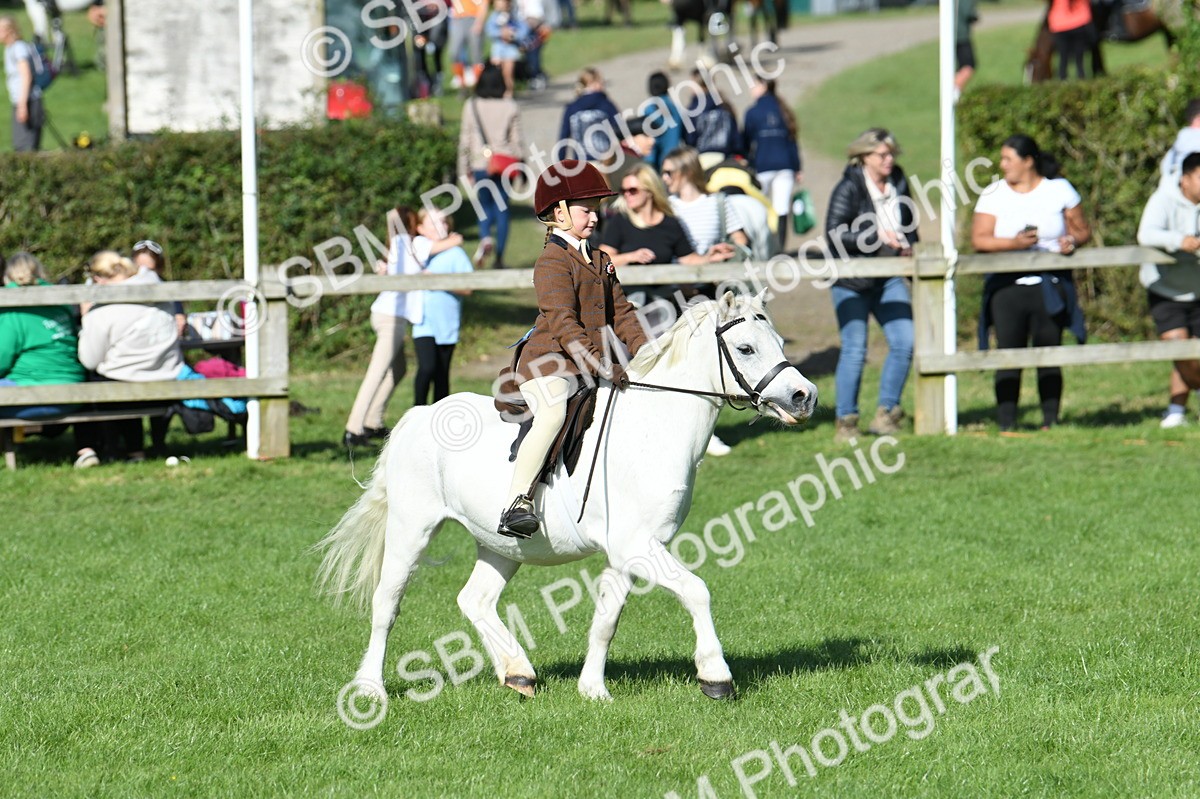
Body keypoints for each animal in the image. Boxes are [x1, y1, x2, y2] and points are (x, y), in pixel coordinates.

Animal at [317, 292, 817, 703]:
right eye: (746, 348)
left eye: (778, 342)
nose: (804, 395)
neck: (655, 426)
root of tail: (420, 413)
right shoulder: (637, 547)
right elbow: (697, 591)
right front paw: (716, 676)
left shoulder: (630, 551)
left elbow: (606, 620)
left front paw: (593, 689)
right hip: (412, 529)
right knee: (387, 604)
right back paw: (371, 689)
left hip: (503, 544)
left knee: (475, 599)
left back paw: (516, 672)